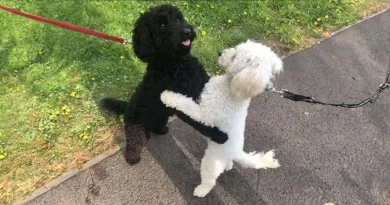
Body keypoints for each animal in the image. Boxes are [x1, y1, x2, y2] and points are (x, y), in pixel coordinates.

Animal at [101, 4, 229, 165]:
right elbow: (199, 121)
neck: (176, 63)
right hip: (135, 128)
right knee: (134, 143)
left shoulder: (202, 83)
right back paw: (132, 158)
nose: (187, 32)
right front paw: (220, 135)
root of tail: (127, 106)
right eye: (162, 25)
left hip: (161, 117)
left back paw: (161, 130)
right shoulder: (181, 104)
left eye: (178, 18)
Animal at [160, 39, 282, 197]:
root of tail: (238, 152)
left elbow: (186, 104)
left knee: (210, 179)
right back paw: (228, 166)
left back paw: (201, 191)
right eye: (235, 48)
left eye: (234, 57)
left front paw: (167, 96)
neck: (230, 89)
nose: (219, 52)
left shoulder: (205, 115)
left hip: (212, 160)